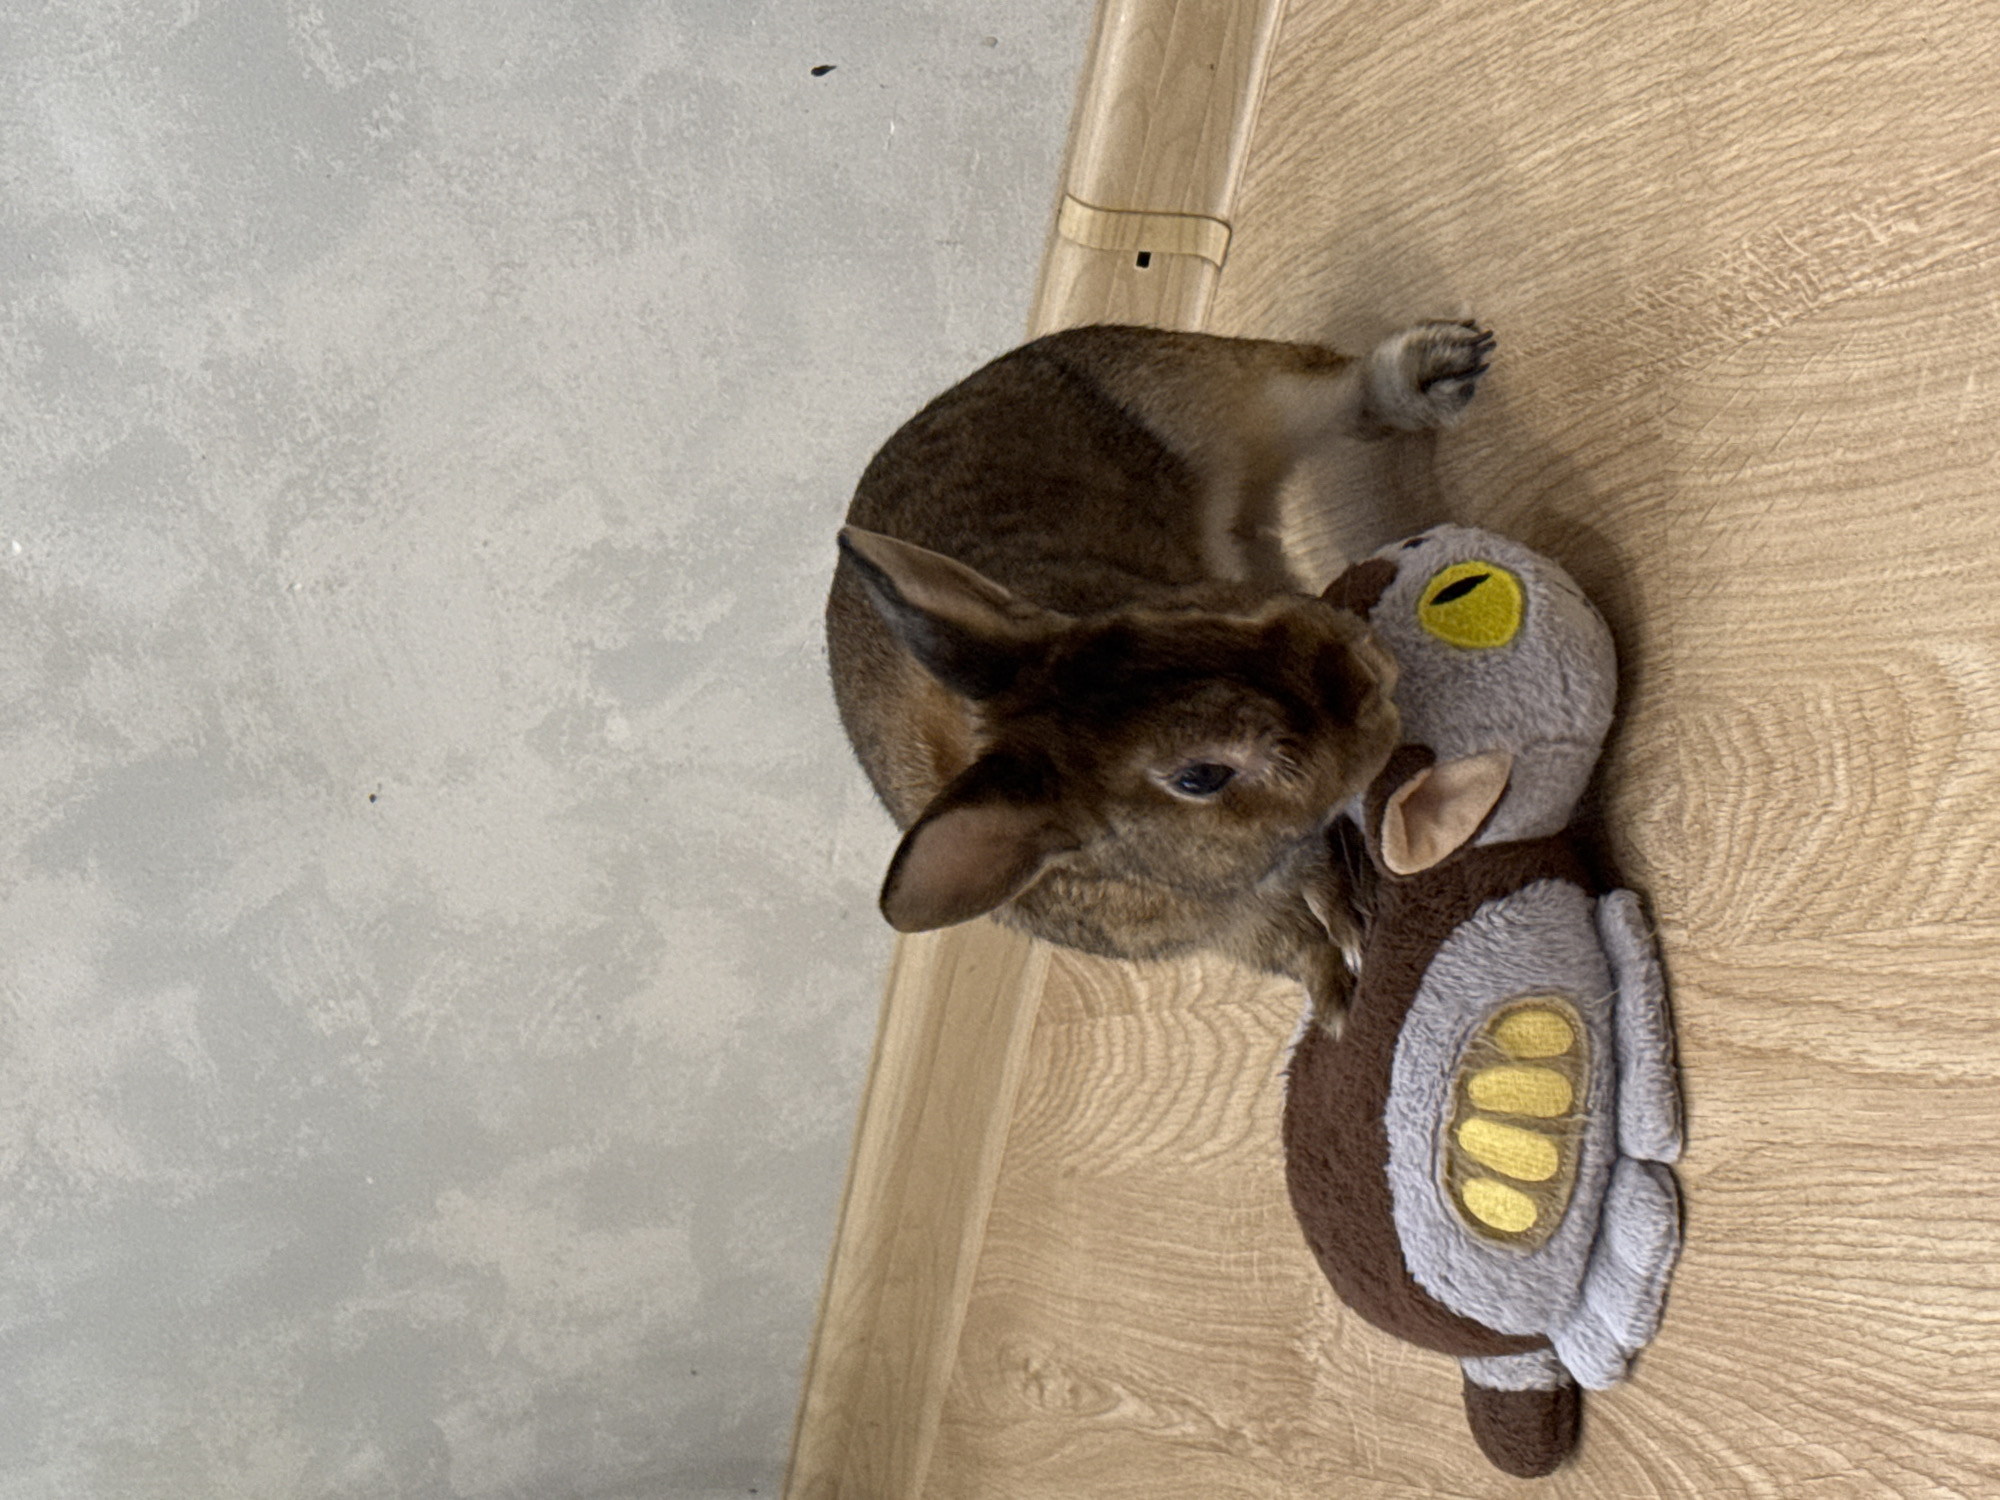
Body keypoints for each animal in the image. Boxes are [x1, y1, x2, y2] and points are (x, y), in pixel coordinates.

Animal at [826, 321, 1495, 1020]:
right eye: (1200, 777)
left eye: (1175, 611)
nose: (1368, 671)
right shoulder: (1233, 923)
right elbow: (1292, 939)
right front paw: (1341, 986)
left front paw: (1355, 938)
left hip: (1225, 394)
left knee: (1340, 392)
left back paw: (1438, 371)